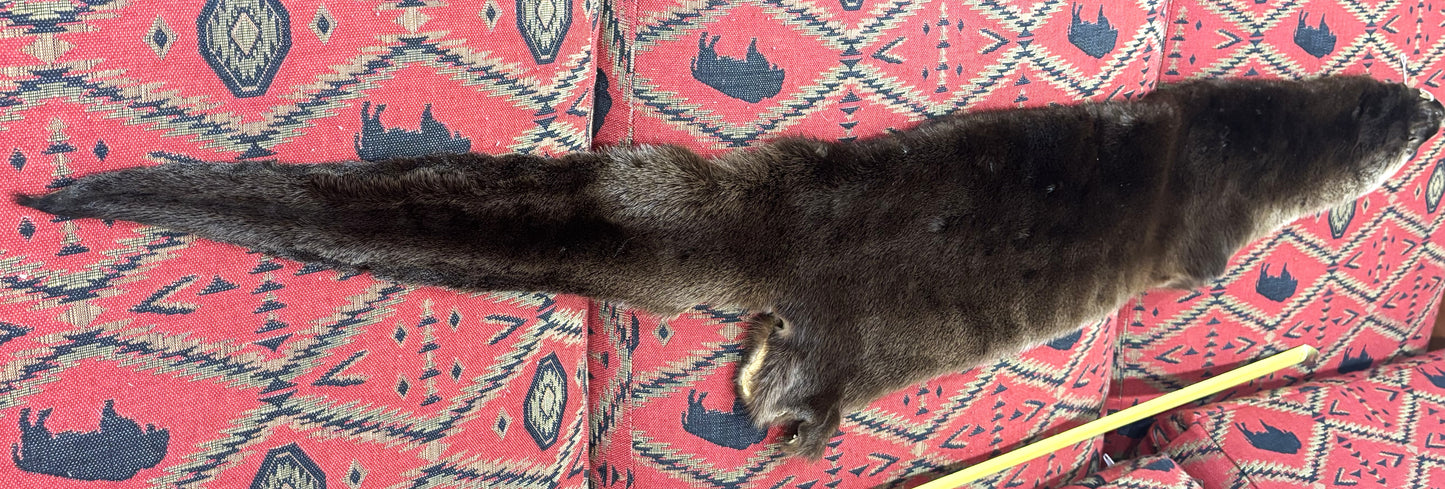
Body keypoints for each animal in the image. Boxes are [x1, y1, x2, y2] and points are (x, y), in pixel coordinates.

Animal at [15, 76, 1442, 459]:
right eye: (1414, 115)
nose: (1427, 108)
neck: (1254, 131)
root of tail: (785, 218)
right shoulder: (1216, 210)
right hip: (846, 346)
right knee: (790, 384)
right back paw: (787, 422)